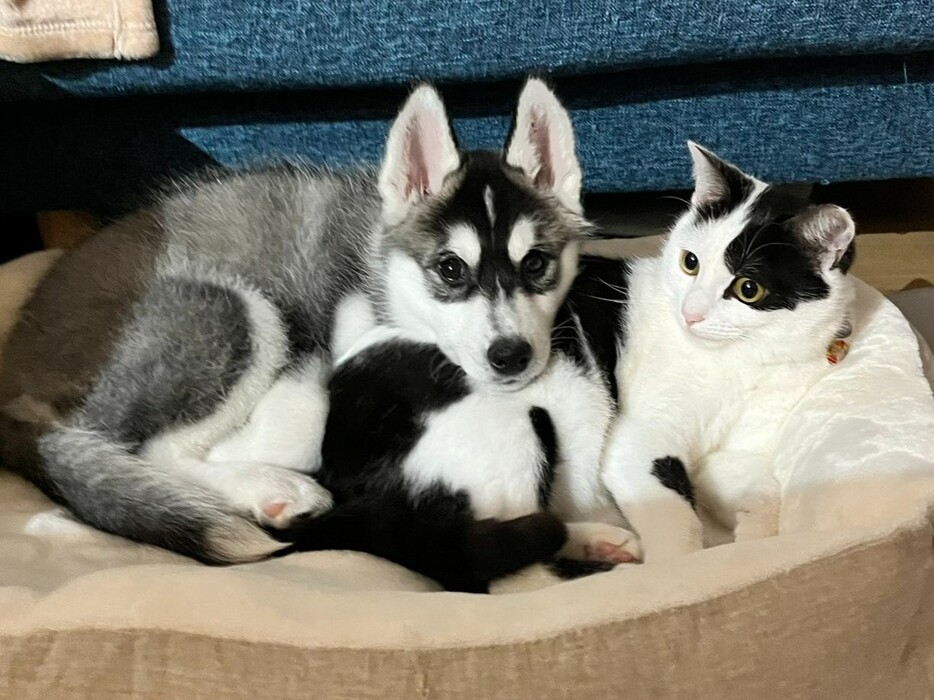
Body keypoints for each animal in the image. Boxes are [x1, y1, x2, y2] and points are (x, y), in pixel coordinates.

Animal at [0, 79, 588, 568]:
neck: (385, 279)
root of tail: (14, 375)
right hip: (229, 309)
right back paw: (266, 487)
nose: (511, 356)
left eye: (536, 264)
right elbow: (303, 422)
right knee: (147, 449)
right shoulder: (311, 331)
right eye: (450, 269)